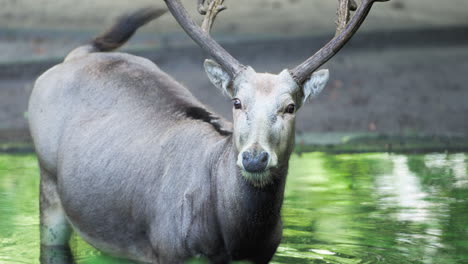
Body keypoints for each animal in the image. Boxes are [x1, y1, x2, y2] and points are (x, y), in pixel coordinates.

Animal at [28, 0, 388, 262]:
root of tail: (75, 56)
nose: (254, 158)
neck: (232, 241)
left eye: (290, 107)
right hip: (48, 182)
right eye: (237, 101)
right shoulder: (167, 249)